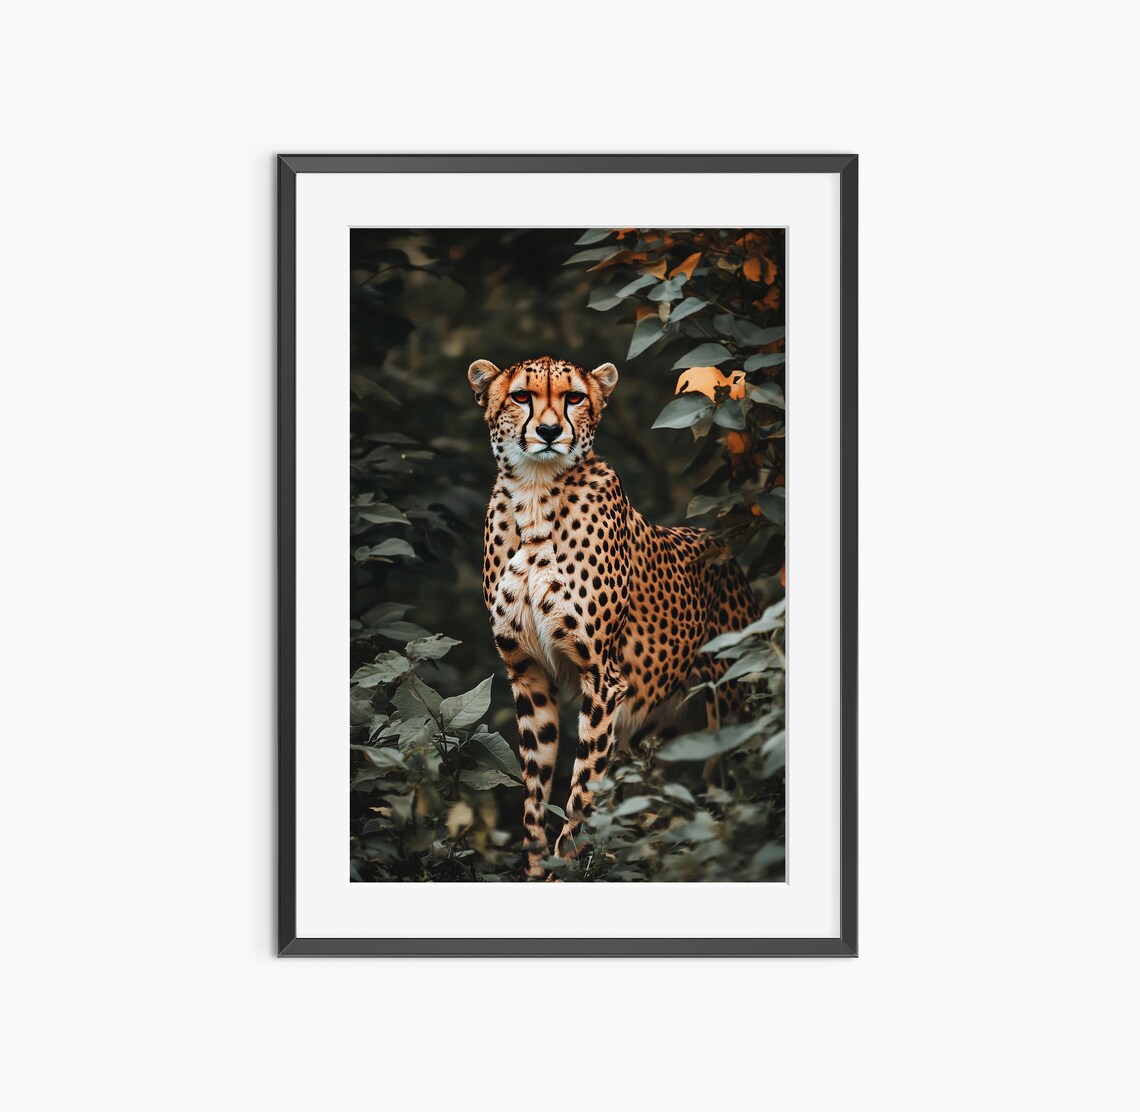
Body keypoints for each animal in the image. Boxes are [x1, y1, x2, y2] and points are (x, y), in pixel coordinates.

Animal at [468, 355, 759, 879]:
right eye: (521, 396)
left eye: (574, 397)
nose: (548, 431)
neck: (536, 492)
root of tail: (718, 542)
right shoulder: (527, 672)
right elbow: (536, 787)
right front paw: (537, 866)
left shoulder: (603, 678)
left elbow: (582, 787)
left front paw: (563, 867)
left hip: (729, 709)